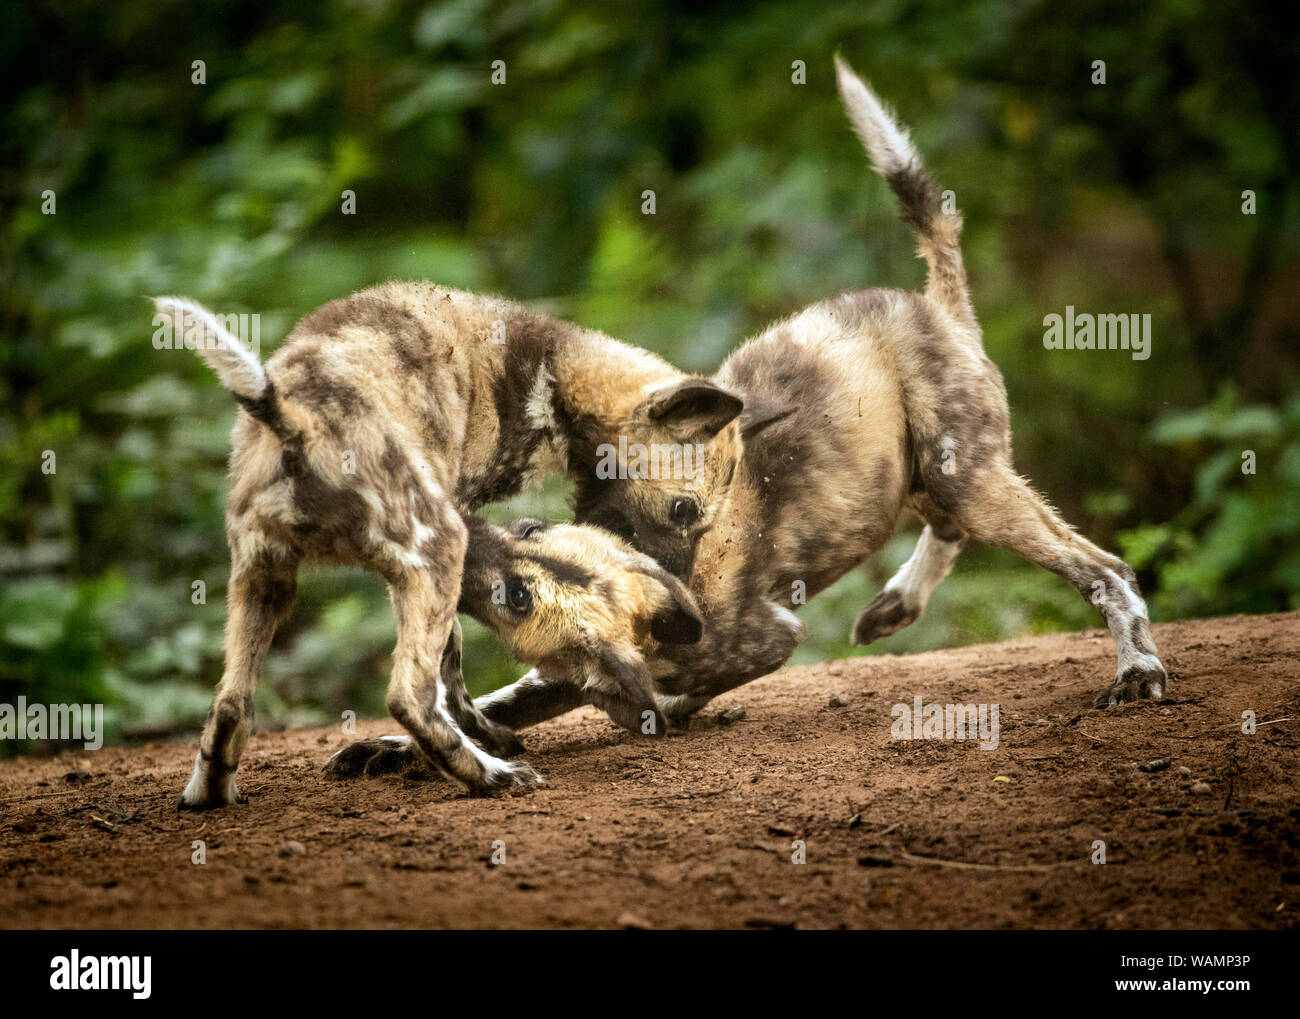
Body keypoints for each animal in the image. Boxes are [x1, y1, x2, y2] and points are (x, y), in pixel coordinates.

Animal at [159, 282, 754, 805]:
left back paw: (209, 797)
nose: (683, 589)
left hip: (264, 580)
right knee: (409, 697)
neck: (546, 374)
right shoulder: (458, 527)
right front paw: (486, 738)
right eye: (684, 511)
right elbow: (454, 672)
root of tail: (294, 417)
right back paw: (494, 776)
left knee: (230, 704)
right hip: (441, 550)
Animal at [467, 55, 1170, 733]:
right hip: (926, 477)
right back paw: (895, 605)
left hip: (966, 478)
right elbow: (494, 708)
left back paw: (1138, 671)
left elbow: (679, 685)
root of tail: (932, 303)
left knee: (1105, 571)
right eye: (529, 529)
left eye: (517, 593)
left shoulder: (762, 637)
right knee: (954, 527)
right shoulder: (568, 670)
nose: (474, 543)